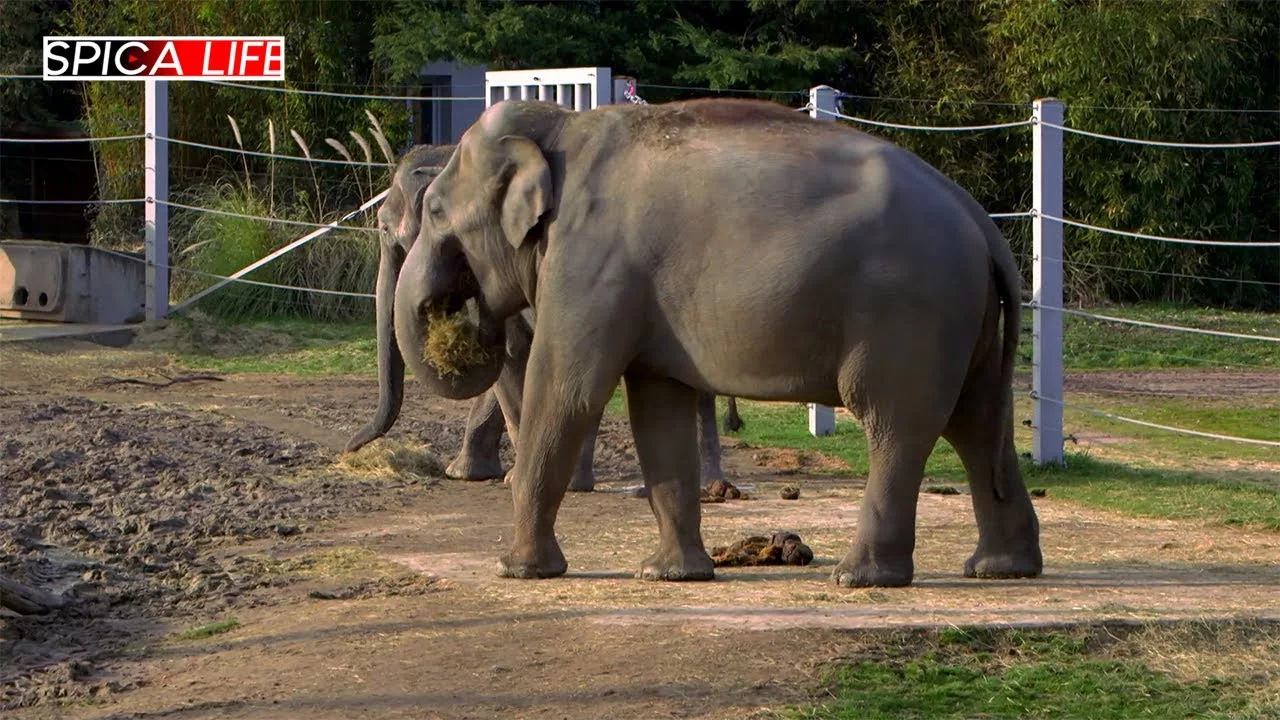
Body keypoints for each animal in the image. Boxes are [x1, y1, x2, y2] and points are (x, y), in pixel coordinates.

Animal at [394, 95, 1044, 586]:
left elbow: (567, 392)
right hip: (964, 318)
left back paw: (860, 578)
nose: (465, 317)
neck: (564, 124)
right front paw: (669, 574)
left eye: (434, 210)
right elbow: (658, 410)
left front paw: (516, 570)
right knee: (977, 421)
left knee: (896, 423)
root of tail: (978, 219)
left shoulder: (590, 263)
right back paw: (1001, 569)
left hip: (908, 313)